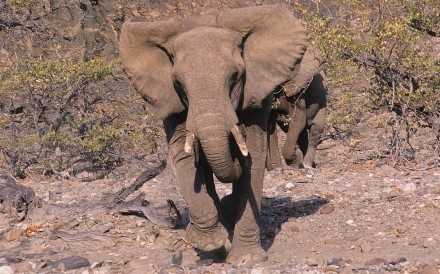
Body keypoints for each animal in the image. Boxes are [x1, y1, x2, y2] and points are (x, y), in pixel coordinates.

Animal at [118, 4, 308, 266]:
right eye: (178, 82)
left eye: (235, 76)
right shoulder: (171, 100)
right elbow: (183, 156)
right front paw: (211, 243)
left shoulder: (256, 93)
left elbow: (252, 157)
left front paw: (246, 259)